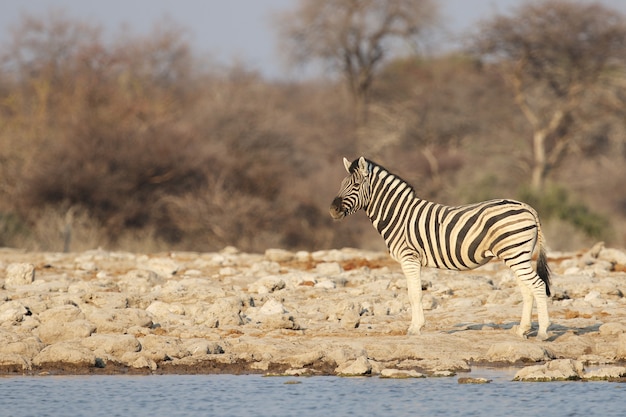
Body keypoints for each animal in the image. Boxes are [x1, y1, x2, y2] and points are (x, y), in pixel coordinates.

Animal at [330, 156, 548, 338]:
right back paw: (522, 330)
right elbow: (414, 293)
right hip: (516, 255)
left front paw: (415, 328)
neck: (398, 216)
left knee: (538, 285)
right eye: (341, 184)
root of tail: (528, 207)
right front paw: (416, 326)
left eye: (356, 185)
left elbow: (414, 294)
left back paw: (543, 332)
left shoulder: (409, 258)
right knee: (527, 290)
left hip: (516, 254)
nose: (333, 210)